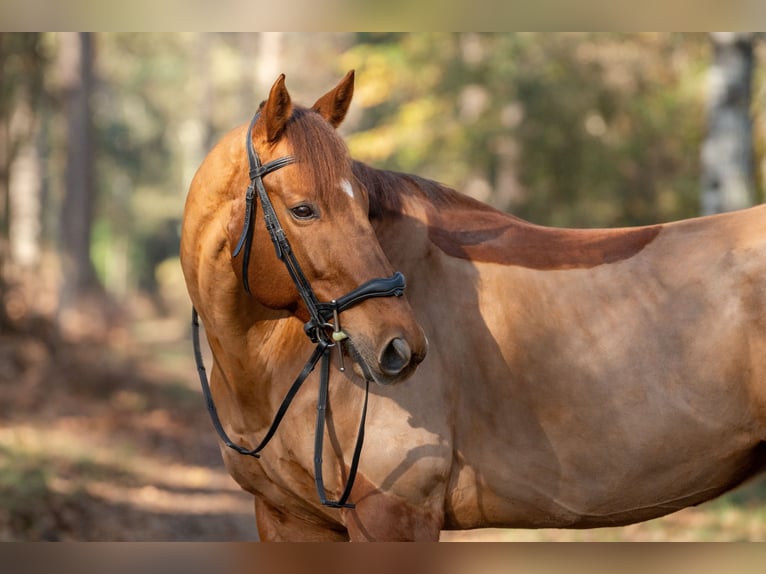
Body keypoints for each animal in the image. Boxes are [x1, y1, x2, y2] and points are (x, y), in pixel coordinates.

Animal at [183, 71, 766, 540]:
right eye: (303, 209)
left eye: (365, 208)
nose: (400, 348)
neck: (270, 369)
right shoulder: (287, 518)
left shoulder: (393, 516)